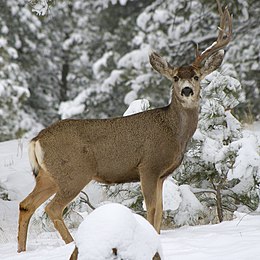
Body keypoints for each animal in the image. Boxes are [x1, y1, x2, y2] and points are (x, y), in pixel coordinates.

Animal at [18, 0, 232, 256]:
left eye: (197, 77)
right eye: (175, 78)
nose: (187, 90)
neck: (173, 133)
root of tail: (37, 140)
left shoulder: (161, 175)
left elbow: (160, 211)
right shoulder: (148, 166)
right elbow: (151, 210)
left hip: (48, 176)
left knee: (25, 205)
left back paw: (21, 251)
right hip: (74, 173)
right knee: (52, 208)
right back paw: (72, 245)